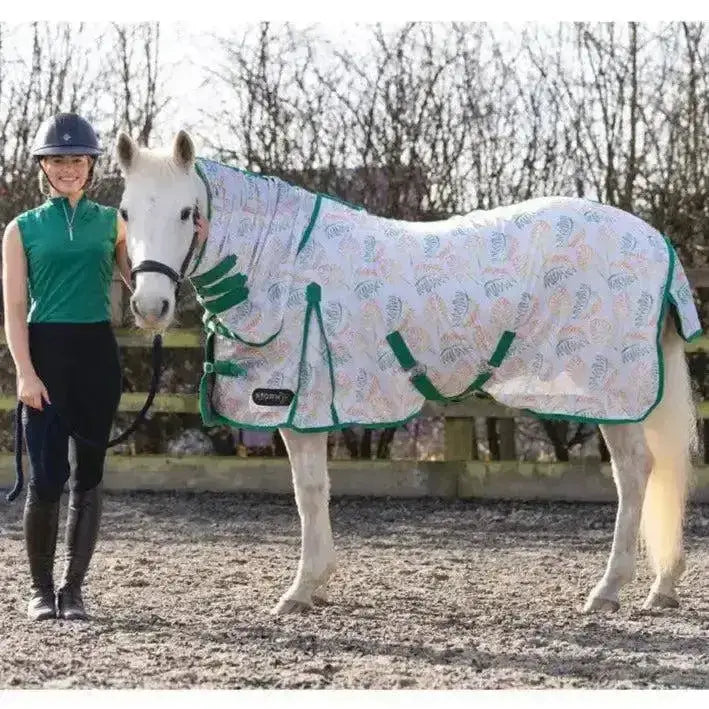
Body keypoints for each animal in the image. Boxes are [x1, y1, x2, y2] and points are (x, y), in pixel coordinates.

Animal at [116, 129, 700, 615]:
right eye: (124, 212)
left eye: (187, 212)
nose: (151, 307)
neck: (284, 265)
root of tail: (656, 241)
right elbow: (314, 490)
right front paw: (317, 584)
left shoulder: (298, 405)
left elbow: (309, 490)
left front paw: (302, 589)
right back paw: (660, 587)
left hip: (612, 395)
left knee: (634, 473)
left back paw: (608, 591)